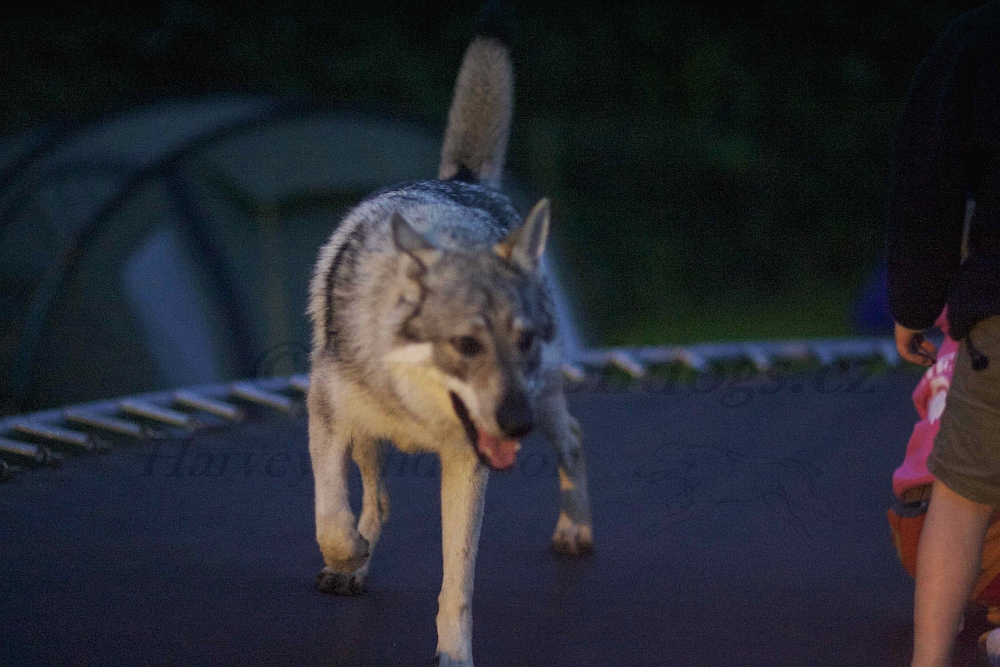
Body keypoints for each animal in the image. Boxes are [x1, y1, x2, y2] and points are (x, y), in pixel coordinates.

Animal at [304, 3, 588, 664]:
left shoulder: (469, 461)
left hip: (545, 405)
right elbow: (332, 522)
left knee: (574, 441)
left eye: (523, 339)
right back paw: (356, 566)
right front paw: (349, 557)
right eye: (466, 345)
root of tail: (465, 181)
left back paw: (574, 531)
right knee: (376, 500)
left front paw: (454, 655)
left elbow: (457, 580)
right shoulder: (324, 419)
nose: (514, 425)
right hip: (365, 437)